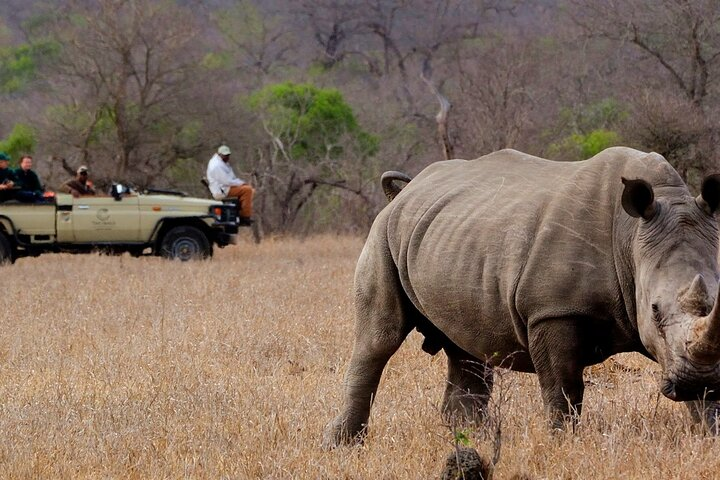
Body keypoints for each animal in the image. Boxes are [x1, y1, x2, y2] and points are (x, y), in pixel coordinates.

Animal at [324, 147, 720, 447]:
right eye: (653, 311)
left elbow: (702, 398)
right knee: (379, 338)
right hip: (384, 232)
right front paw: (562, 445)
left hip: (455, 234)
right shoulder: (552, 310)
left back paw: (468, 439)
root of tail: (406, 190)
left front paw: (710, 435)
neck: (631, 238)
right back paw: (343, 446)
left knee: (466, 348)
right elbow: (564, 390)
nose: (697, 381)